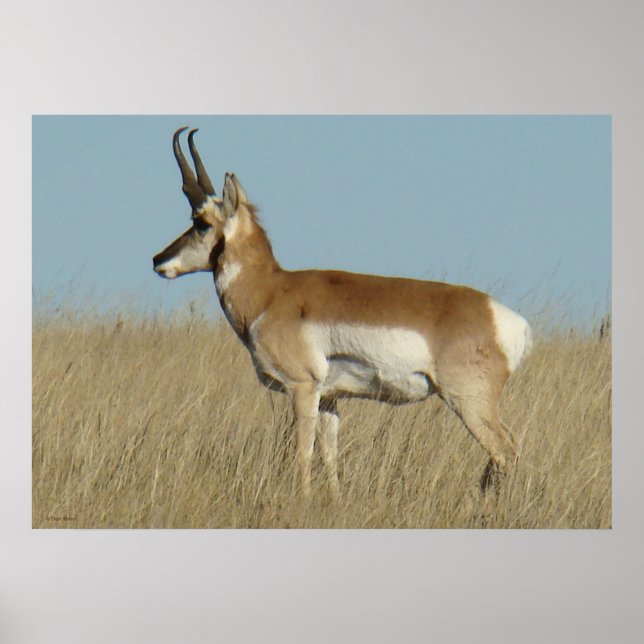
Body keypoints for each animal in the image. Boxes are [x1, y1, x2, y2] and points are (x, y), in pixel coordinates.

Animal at [153, 127, 533, 501]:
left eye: (201, 223)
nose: (158, 260)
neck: (272, 292)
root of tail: (508, 320)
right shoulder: (330, 399)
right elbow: (329, 454)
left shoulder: (303, 388)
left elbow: (303, 452)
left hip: (469, 402)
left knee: (506, 449)